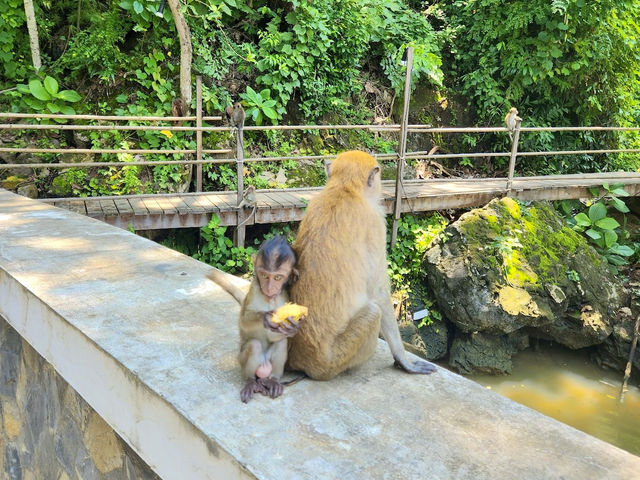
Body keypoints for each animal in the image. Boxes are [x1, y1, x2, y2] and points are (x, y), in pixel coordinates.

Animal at [208, 235, 302, 402]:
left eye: (277, 277)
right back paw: (251, 381)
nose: (269, 288)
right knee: (253, 345)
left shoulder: (285, 296)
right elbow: (244, 321)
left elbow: (277, 335)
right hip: (242, 360)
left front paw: (292, 328)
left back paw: (273, 380)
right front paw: (265, 317)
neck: (269, 299)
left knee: (281, 343)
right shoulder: (254, 291)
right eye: (264, 276)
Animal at [288, 152, 438, 380]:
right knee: (374, 311)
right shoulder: (375, 223)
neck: (344, 189)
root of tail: (303, 360)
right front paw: (404, 359)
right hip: (337, 358)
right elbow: (378, 292)